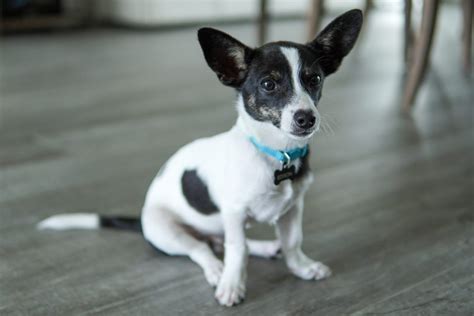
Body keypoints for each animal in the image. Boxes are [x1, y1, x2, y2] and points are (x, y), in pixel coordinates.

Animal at [38, 9, 362, 306]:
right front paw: (232, 285)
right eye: (269, 84)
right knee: (202, 250)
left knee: (221, 241)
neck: (275, 151)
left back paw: (266, 248)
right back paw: (217, 270)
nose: (307, 118)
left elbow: (292, 241)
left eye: (314, 79)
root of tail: (143, 220)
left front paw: (301, 268)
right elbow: (237, 251)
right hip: (168, 232)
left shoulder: (292, 208)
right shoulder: (234, 212)